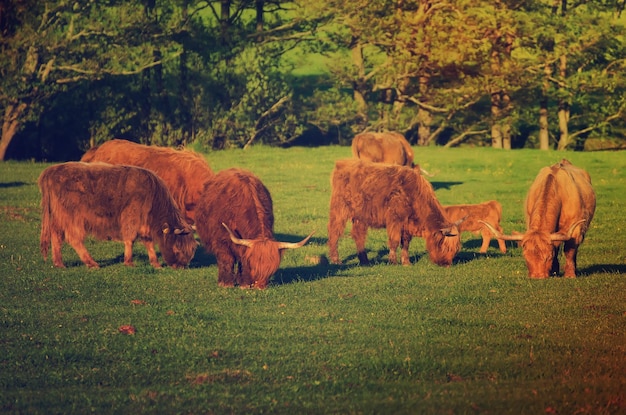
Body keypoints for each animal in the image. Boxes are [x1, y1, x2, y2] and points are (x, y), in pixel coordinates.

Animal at [39, 162, 195, 270]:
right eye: (177, 248)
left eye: (191, 250)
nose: (181, 266)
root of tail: (51, 171)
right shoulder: (132, 216)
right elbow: (130, 238)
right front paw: (129, 262)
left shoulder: (144, 223)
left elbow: (148, 241)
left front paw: (155, 263)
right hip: (72, 216)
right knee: (74, 238)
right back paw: (92, 263)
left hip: (59, 216)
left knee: (56, 235)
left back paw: (59, 263)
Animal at [324, 159, 460, 266]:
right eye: (445, 247)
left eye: (455, 249)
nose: (446, 264)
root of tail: (342, 163)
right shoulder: (395, 219)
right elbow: (394, 241)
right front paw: (393, 261)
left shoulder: (406, 224)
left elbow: (405, 243)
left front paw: (406, 262)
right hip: (340, 209)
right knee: (334, 232)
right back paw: (336, 260)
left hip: (360, 215)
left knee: (358, 235)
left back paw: (365, 261)